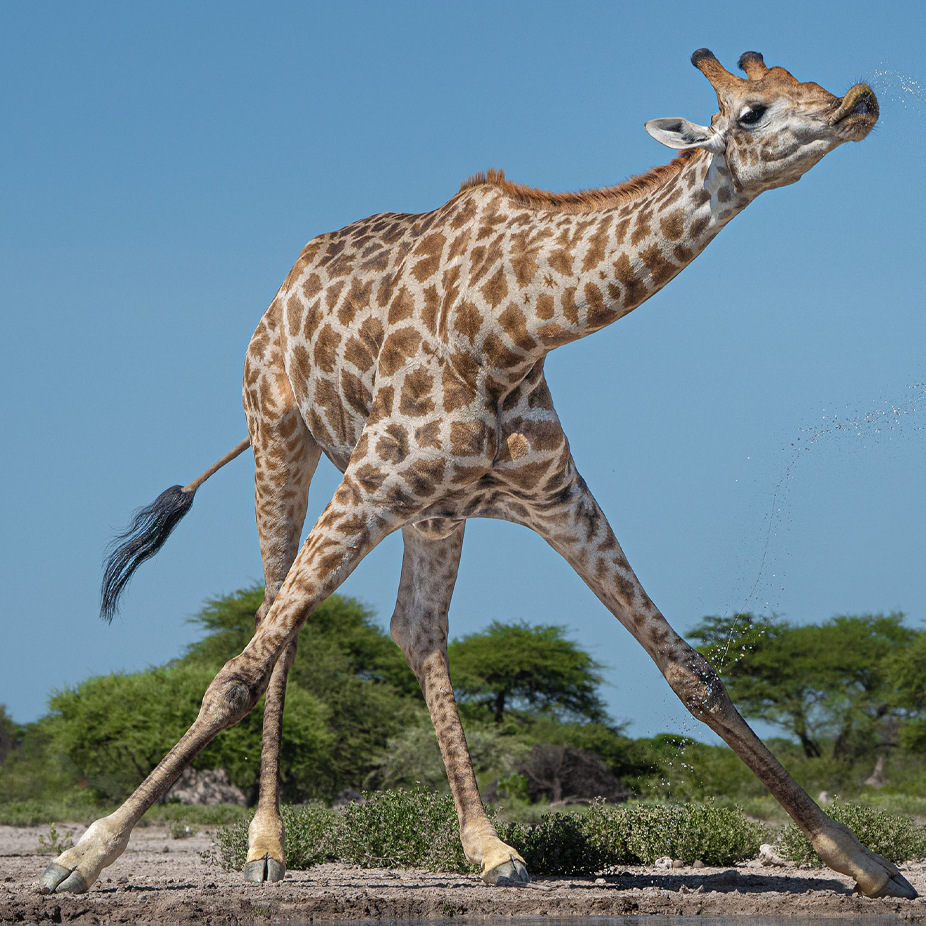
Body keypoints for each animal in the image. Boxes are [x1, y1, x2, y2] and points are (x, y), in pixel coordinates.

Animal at [41, 49, 917, 900]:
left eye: (810, 81)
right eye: (752, 112)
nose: (859, 102)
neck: (513, 325)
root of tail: (278, 298)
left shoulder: (557, 498)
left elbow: (691, 672)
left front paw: (865, 863)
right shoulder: (371, 481)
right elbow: (237, 674)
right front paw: (83, 854)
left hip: (435, 511)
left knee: (415, 630)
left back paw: (488, 847)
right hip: (280, 442)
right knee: (273, 618)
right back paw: (266, 847)